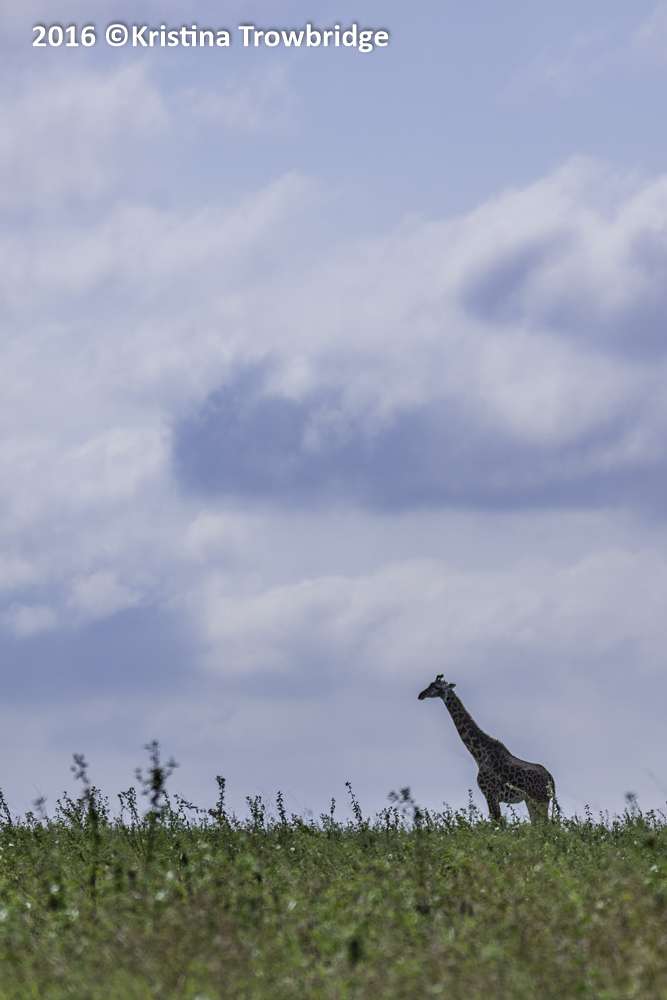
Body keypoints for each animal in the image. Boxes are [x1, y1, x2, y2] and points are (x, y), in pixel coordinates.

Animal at [418, 674, 558, 823]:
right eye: (430, 684)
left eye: (436, 687)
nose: (421, 695)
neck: (479, 755)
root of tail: (551, 779)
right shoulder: (491, 795)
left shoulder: (490, 793)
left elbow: (498, 823)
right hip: (531, 800)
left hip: (540, 799)